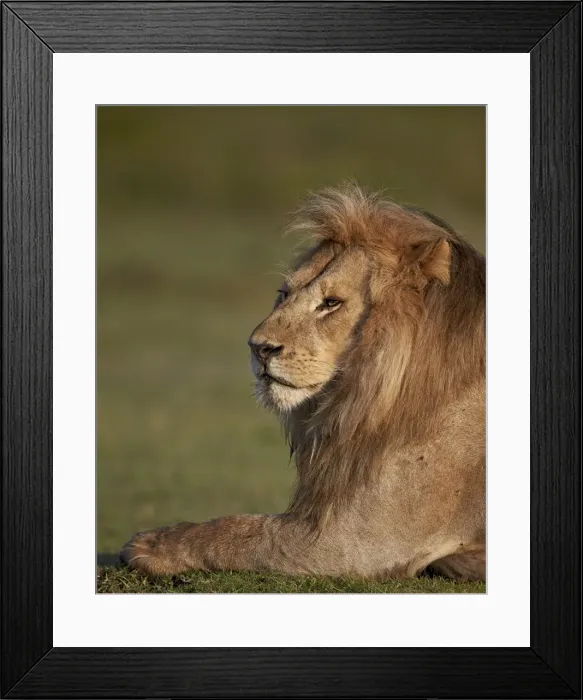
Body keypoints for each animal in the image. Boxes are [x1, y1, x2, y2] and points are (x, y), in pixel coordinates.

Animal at [121, 184, 486, 582]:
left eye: (331, 303)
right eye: (284, 294)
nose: (259, 347)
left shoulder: (360, 539)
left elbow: (243, 531)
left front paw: (150, 545)